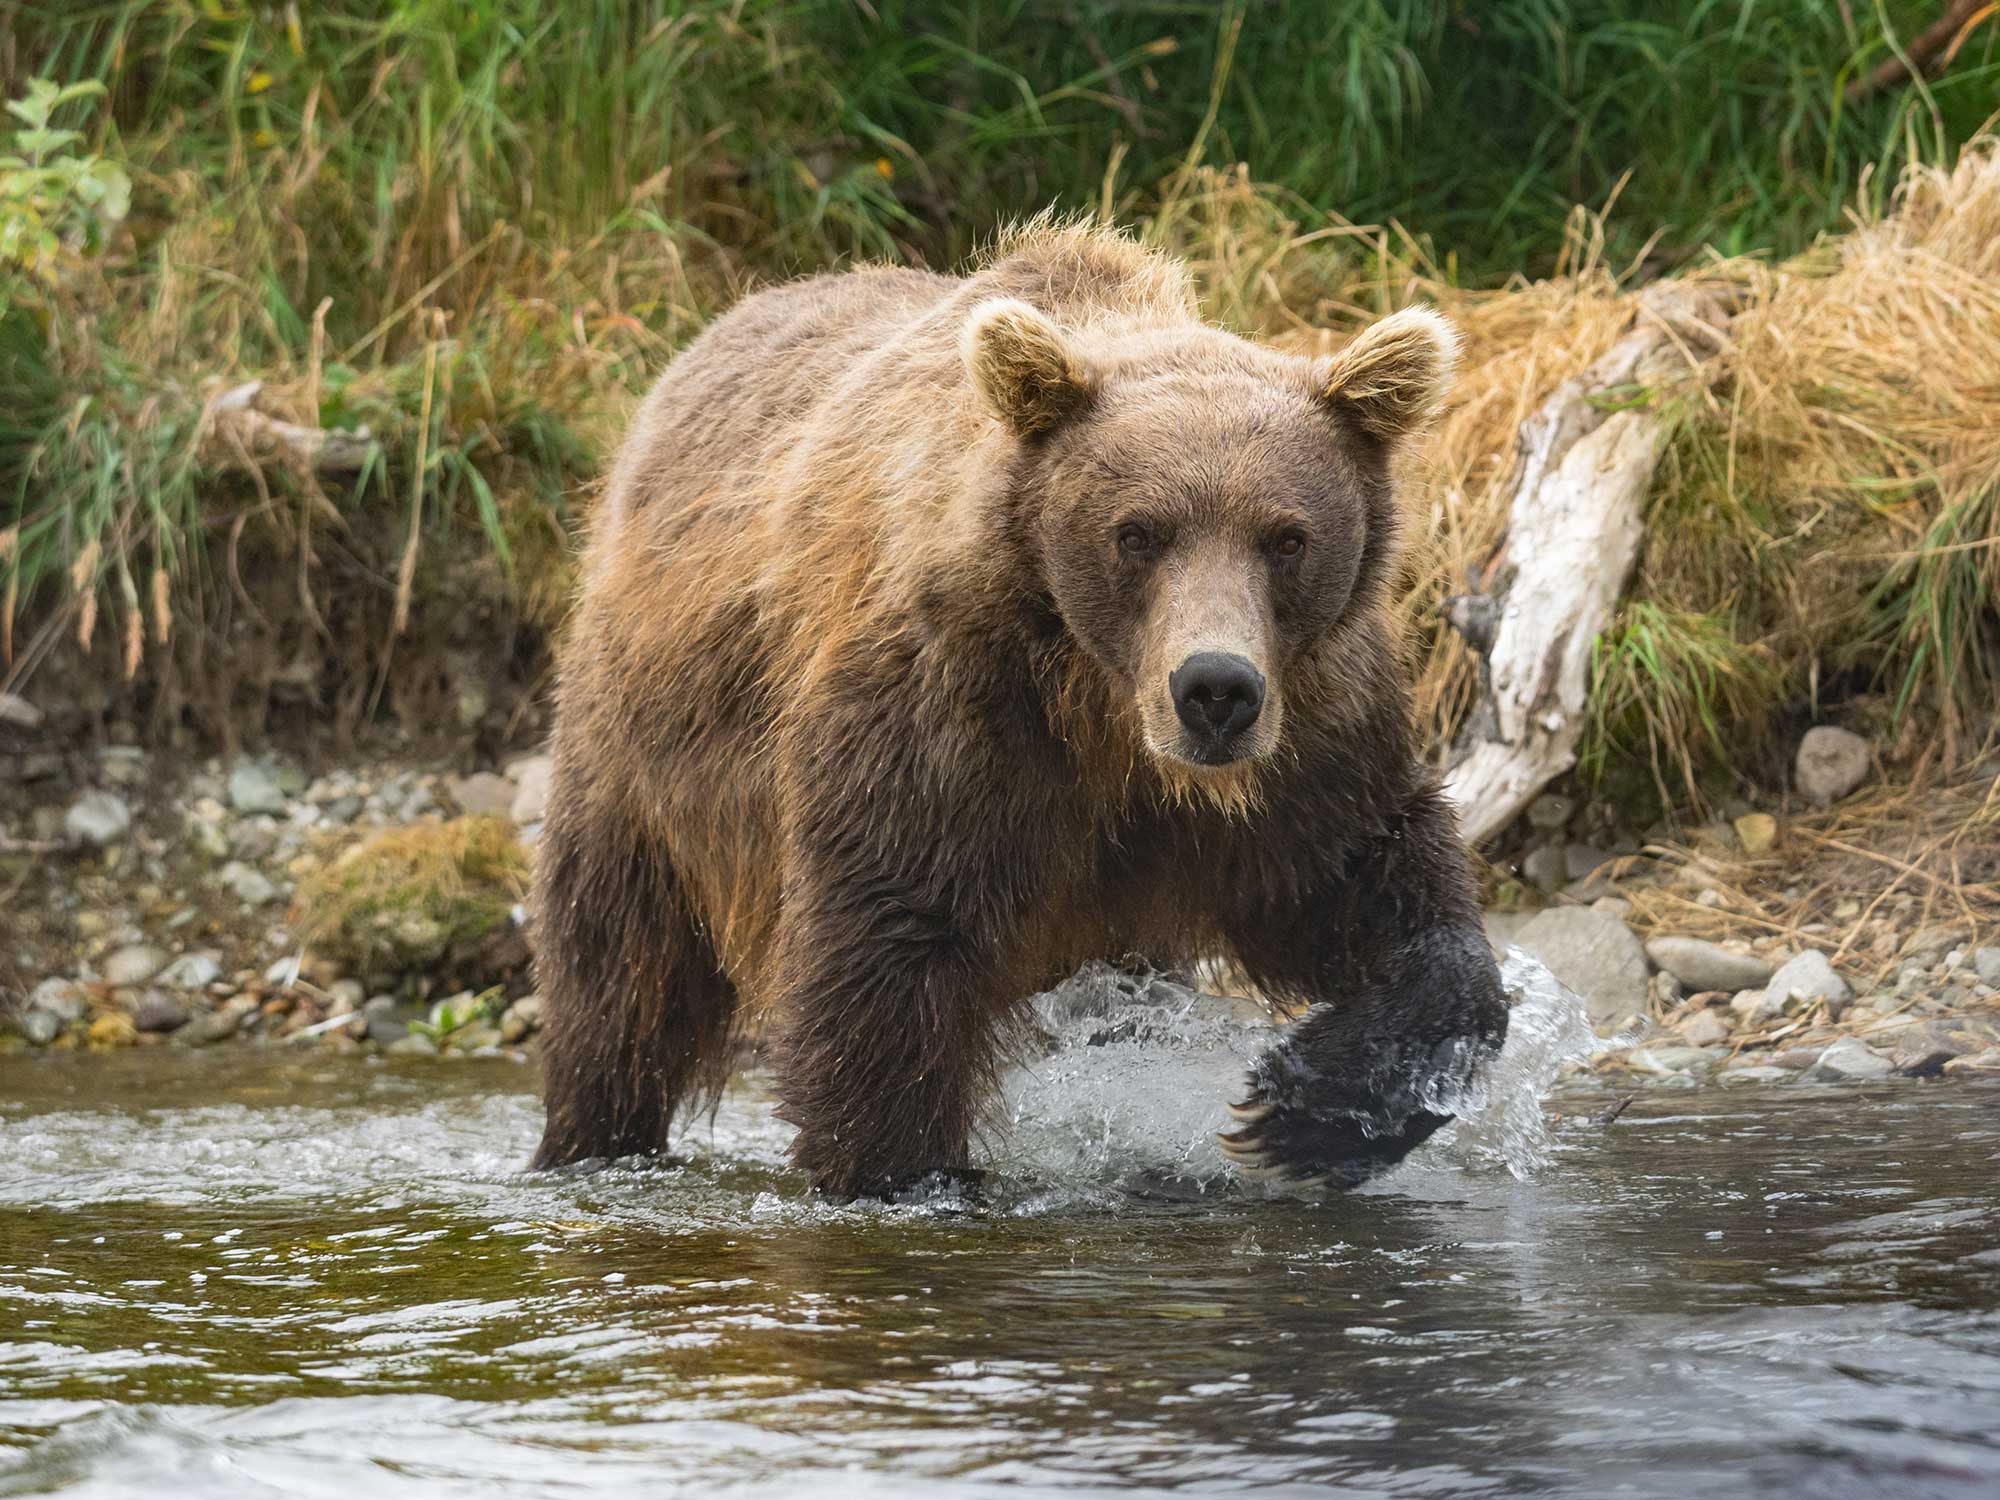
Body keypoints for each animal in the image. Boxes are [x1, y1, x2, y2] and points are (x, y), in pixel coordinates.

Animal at [528, 223, 1504, 1208]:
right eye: (1137, 532)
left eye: (1287, 538)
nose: (1215, 690)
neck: (1108, 726)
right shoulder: (948, 714)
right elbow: (888, 940)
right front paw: (906, 1170)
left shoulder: (1308, 742)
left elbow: (1373, 877)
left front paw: (1303, 1115)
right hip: (643, 755)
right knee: (619, 973)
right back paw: (592, 1136)